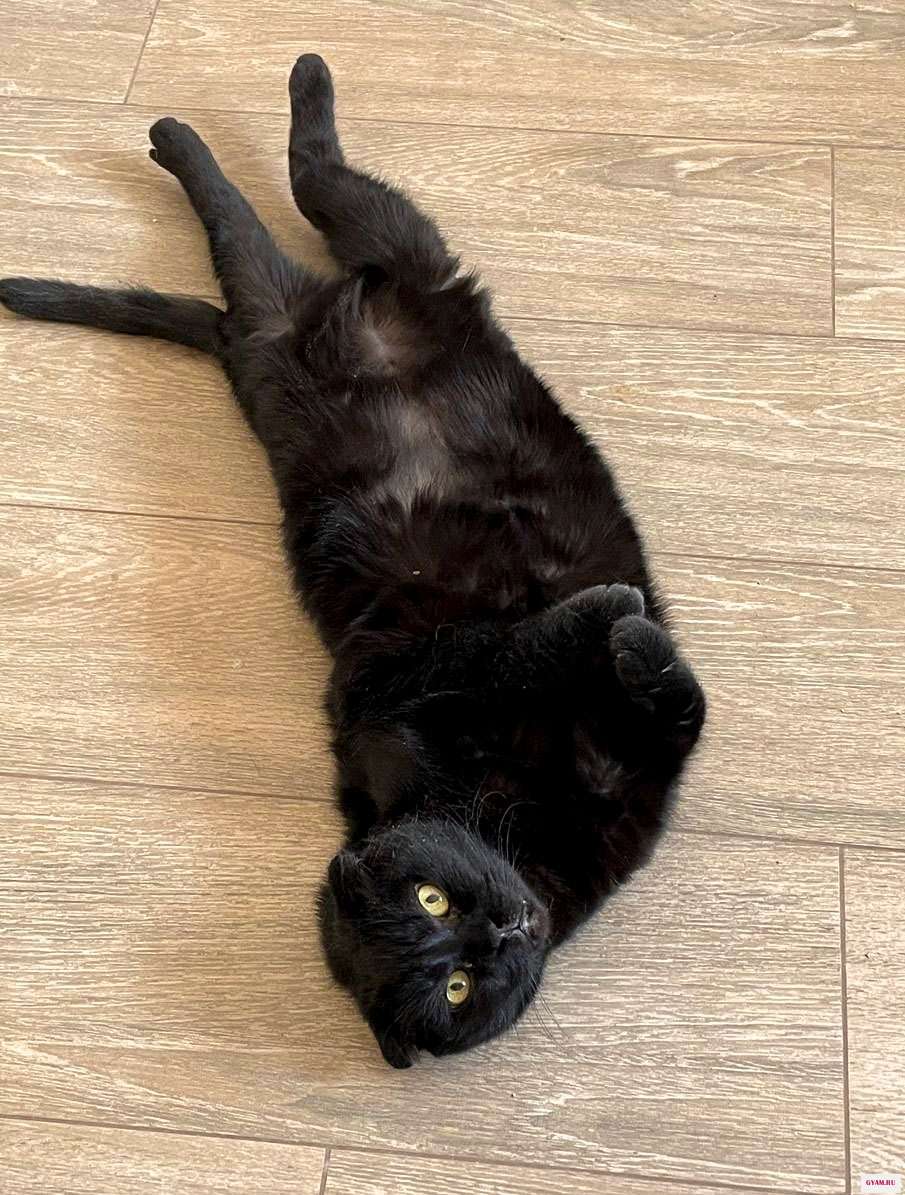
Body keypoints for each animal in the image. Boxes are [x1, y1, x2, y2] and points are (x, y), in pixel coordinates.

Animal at [0, 54, 706, 1069]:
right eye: (452, 980)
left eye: (433, 898)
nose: (499, 930)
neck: (522, 824)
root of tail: (283, 331)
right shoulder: (394, 682)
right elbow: (535, 655)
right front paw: (609, 616)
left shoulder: (617, 746)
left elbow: (667, 693)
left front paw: (623, 627)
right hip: (306, 326)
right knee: (272, 223)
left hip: (399, 254)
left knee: (290, 195)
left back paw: (203, 124)